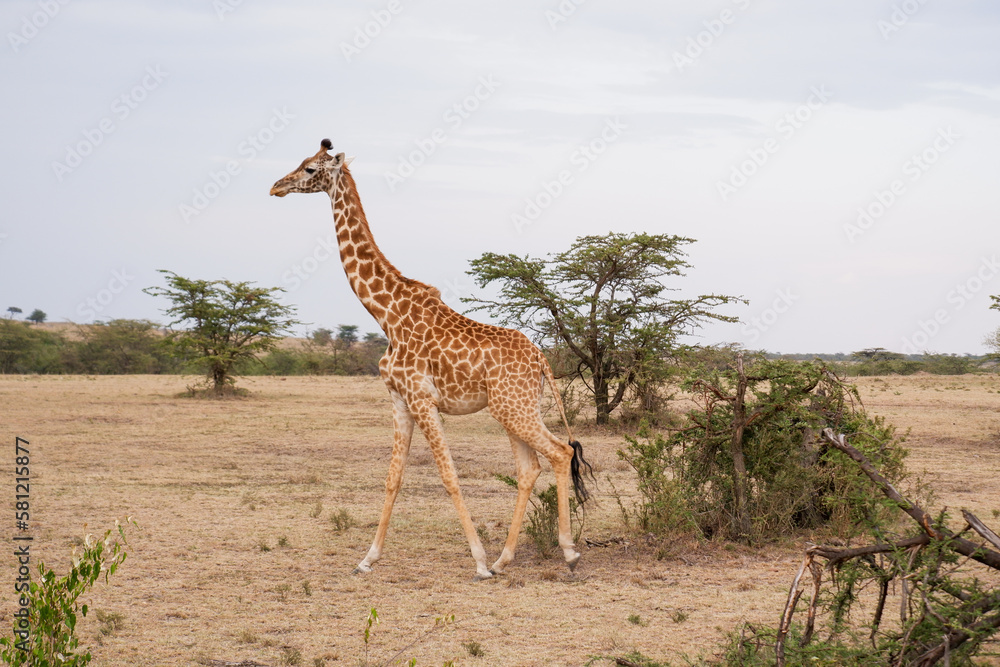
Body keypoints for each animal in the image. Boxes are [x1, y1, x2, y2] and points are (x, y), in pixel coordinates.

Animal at [270, 139, 593, 580]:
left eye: (308, 169)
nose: (276, 186)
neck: (385, 313)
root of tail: (542, 359)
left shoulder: (422, 399)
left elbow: (449, 475)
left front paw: (478, 562)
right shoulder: (399, 400)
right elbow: (393, 478)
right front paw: (367, 559)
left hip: (514, 407)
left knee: (560, 452)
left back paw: (567, 553)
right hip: (513, 407)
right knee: (530, 468)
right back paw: (506, 558)